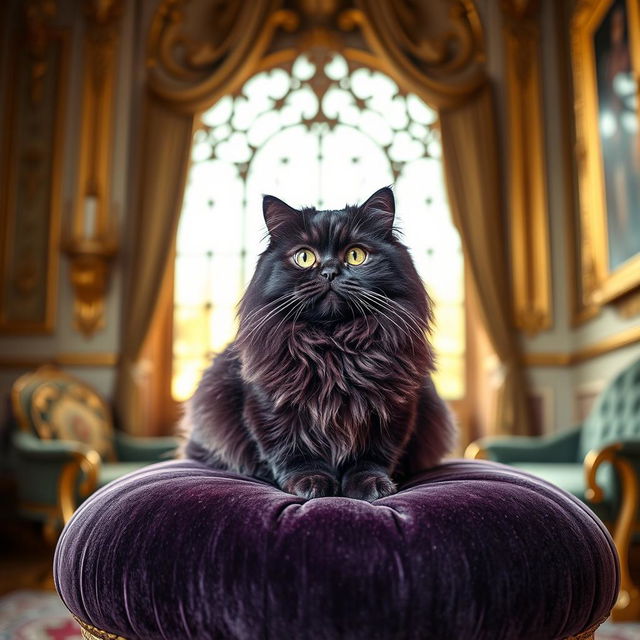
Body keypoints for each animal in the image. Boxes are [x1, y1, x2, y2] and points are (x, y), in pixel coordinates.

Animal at [182, 185, 458, 500]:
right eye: (304, 257)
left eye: (355, 255)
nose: (329, 272)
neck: (334, 347)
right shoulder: (271, 405)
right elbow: (294, 452)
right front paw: (311, 483)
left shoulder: (392, 408)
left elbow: (372, 457)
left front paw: (371, 486)